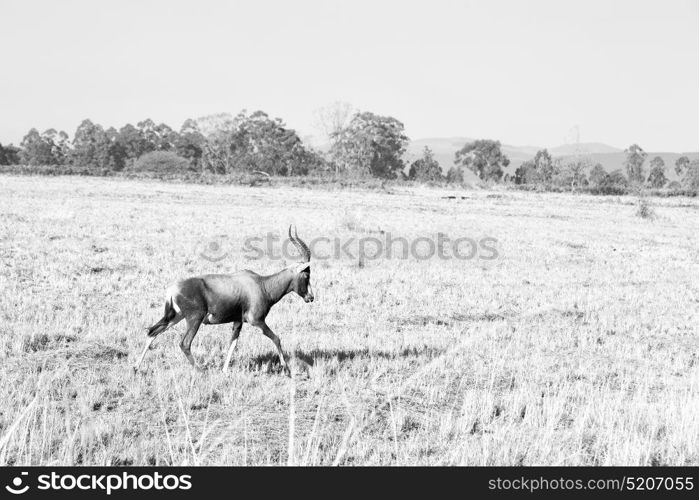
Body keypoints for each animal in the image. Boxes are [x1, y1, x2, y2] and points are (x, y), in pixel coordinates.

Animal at [134, 226, 314, 376]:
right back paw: (200, 370)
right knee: (184, 343)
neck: (261, 284)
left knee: (152, 332)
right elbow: (276, 338)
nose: (311, 297)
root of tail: (173, 289)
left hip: (174, 317)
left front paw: (224, 370)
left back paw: (136, 367)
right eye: (306, 275)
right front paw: (287, 369)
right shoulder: (257, 321)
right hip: (194, 319)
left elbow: (232, 344)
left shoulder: (238, 322)